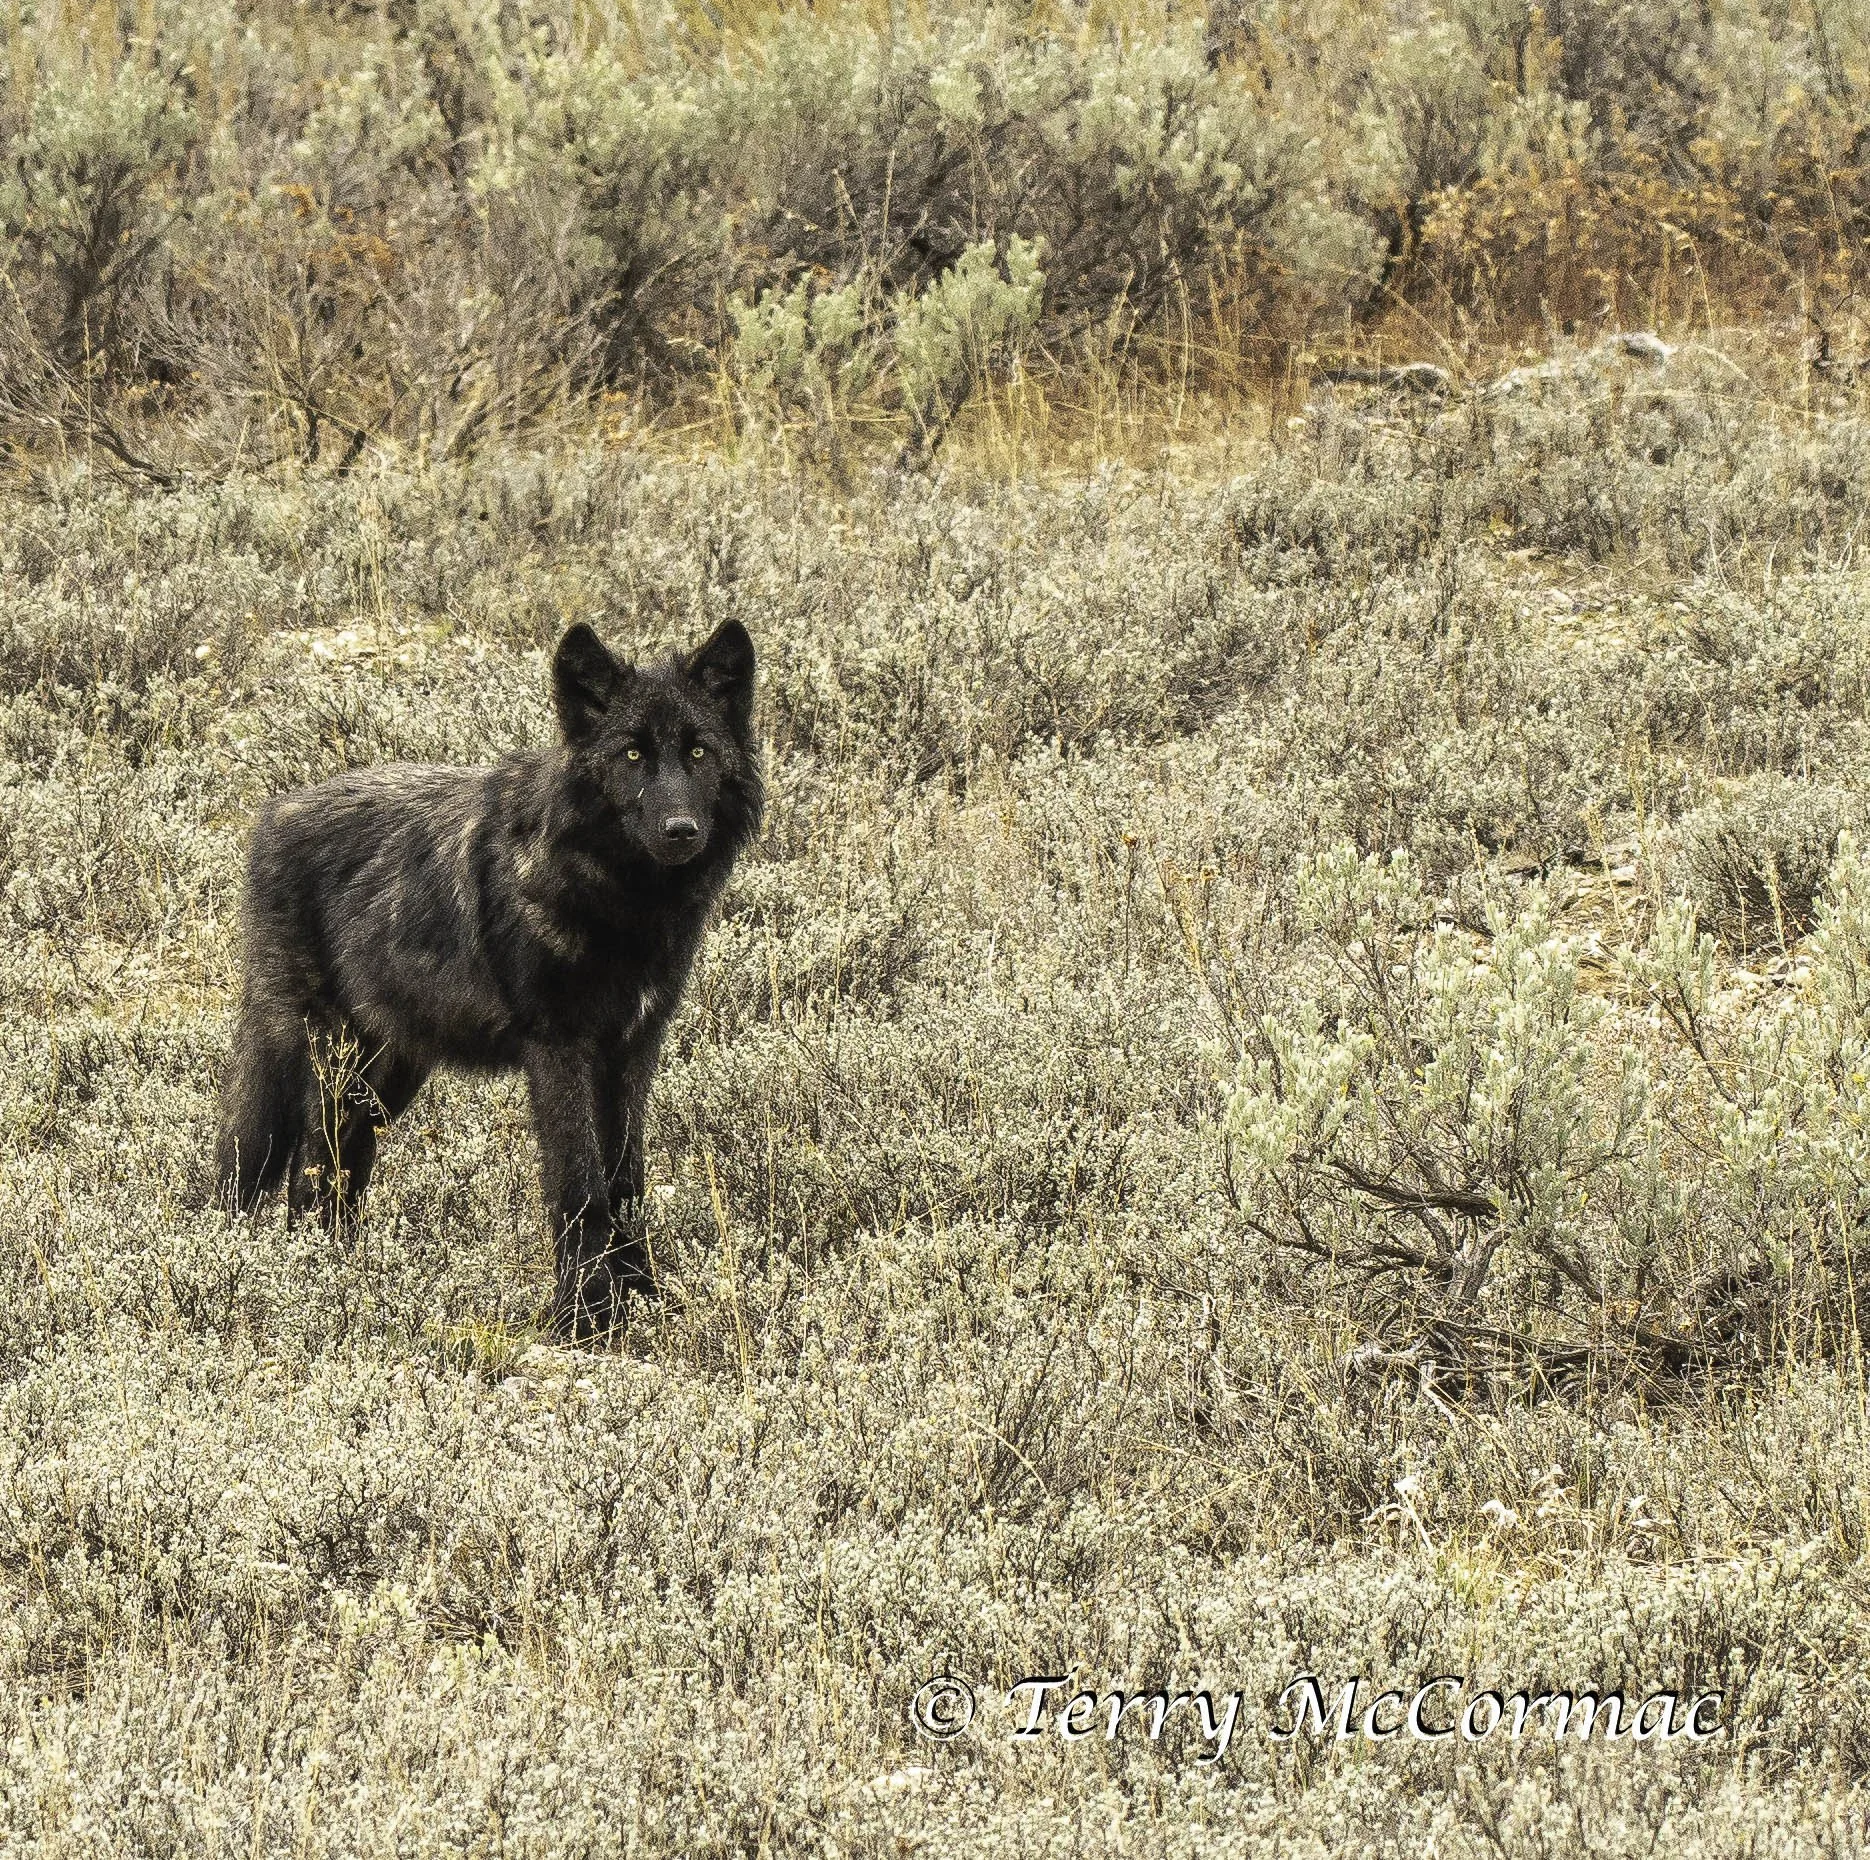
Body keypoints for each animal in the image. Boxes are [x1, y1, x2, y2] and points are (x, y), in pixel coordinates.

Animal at [215, 618, 762, 1340]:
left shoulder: (633, 1048)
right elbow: (579, 1185)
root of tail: (272, 815)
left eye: (697, 752)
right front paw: (586, 1318)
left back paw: (344, 1274)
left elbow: (625, 1182)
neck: (622, 904)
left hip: (389, 1076)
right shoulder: (559, 1048)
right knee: (308, 1161)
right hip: (329, 1057)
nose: (681, 830)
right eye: (632, 755)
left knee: (342, 1163)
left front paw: (643, 1300)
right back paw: (309, 1277)